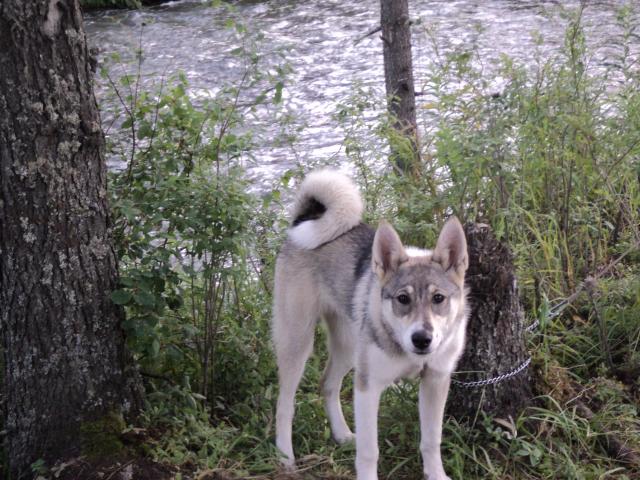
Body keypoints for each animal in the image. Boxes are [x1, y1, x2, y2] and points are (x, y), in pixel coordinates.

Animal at [272, 171, 468, 478]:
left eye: (438, 298)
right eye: (402, 298)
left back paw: (341, 434)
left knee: (328, 384)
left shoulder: (435, 382)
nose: (422, 339)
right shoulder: (368, 388)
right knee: (284, 405)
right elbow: (369, 451)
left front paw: (436, 474)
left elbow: (431, 440)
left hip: (348, 346)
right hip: (297, 343)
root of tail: (304, 220)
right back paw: (285, 456)